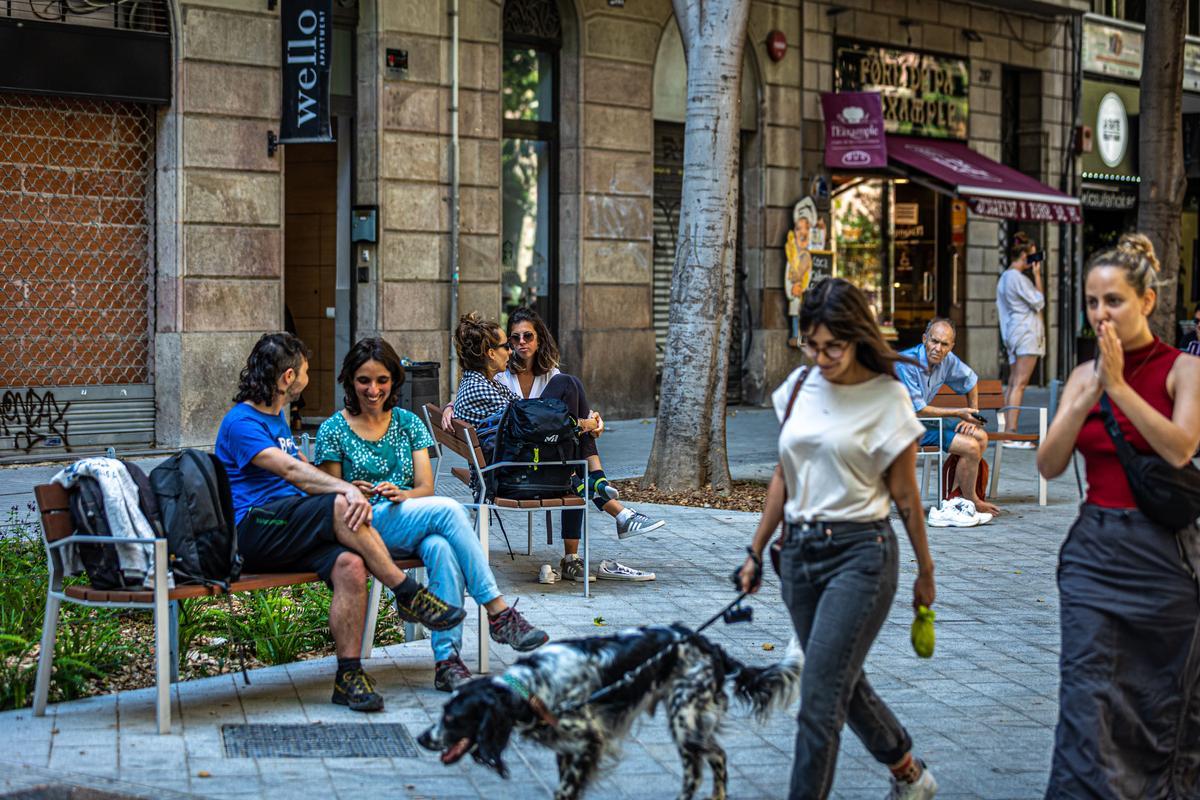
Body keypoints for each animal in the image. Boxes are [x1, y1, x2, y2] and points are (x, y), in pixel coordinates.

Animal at [417, 623, 801, 800]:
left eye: (451, 718)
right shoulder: (567, 746)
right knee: (718, 754)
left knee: (696, 770)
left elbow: (564, 791)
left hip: (683, 717)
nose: (422, 738)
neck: (532, 689)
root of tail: (705, 642)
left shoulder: (589, 742)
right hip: (692, 718)